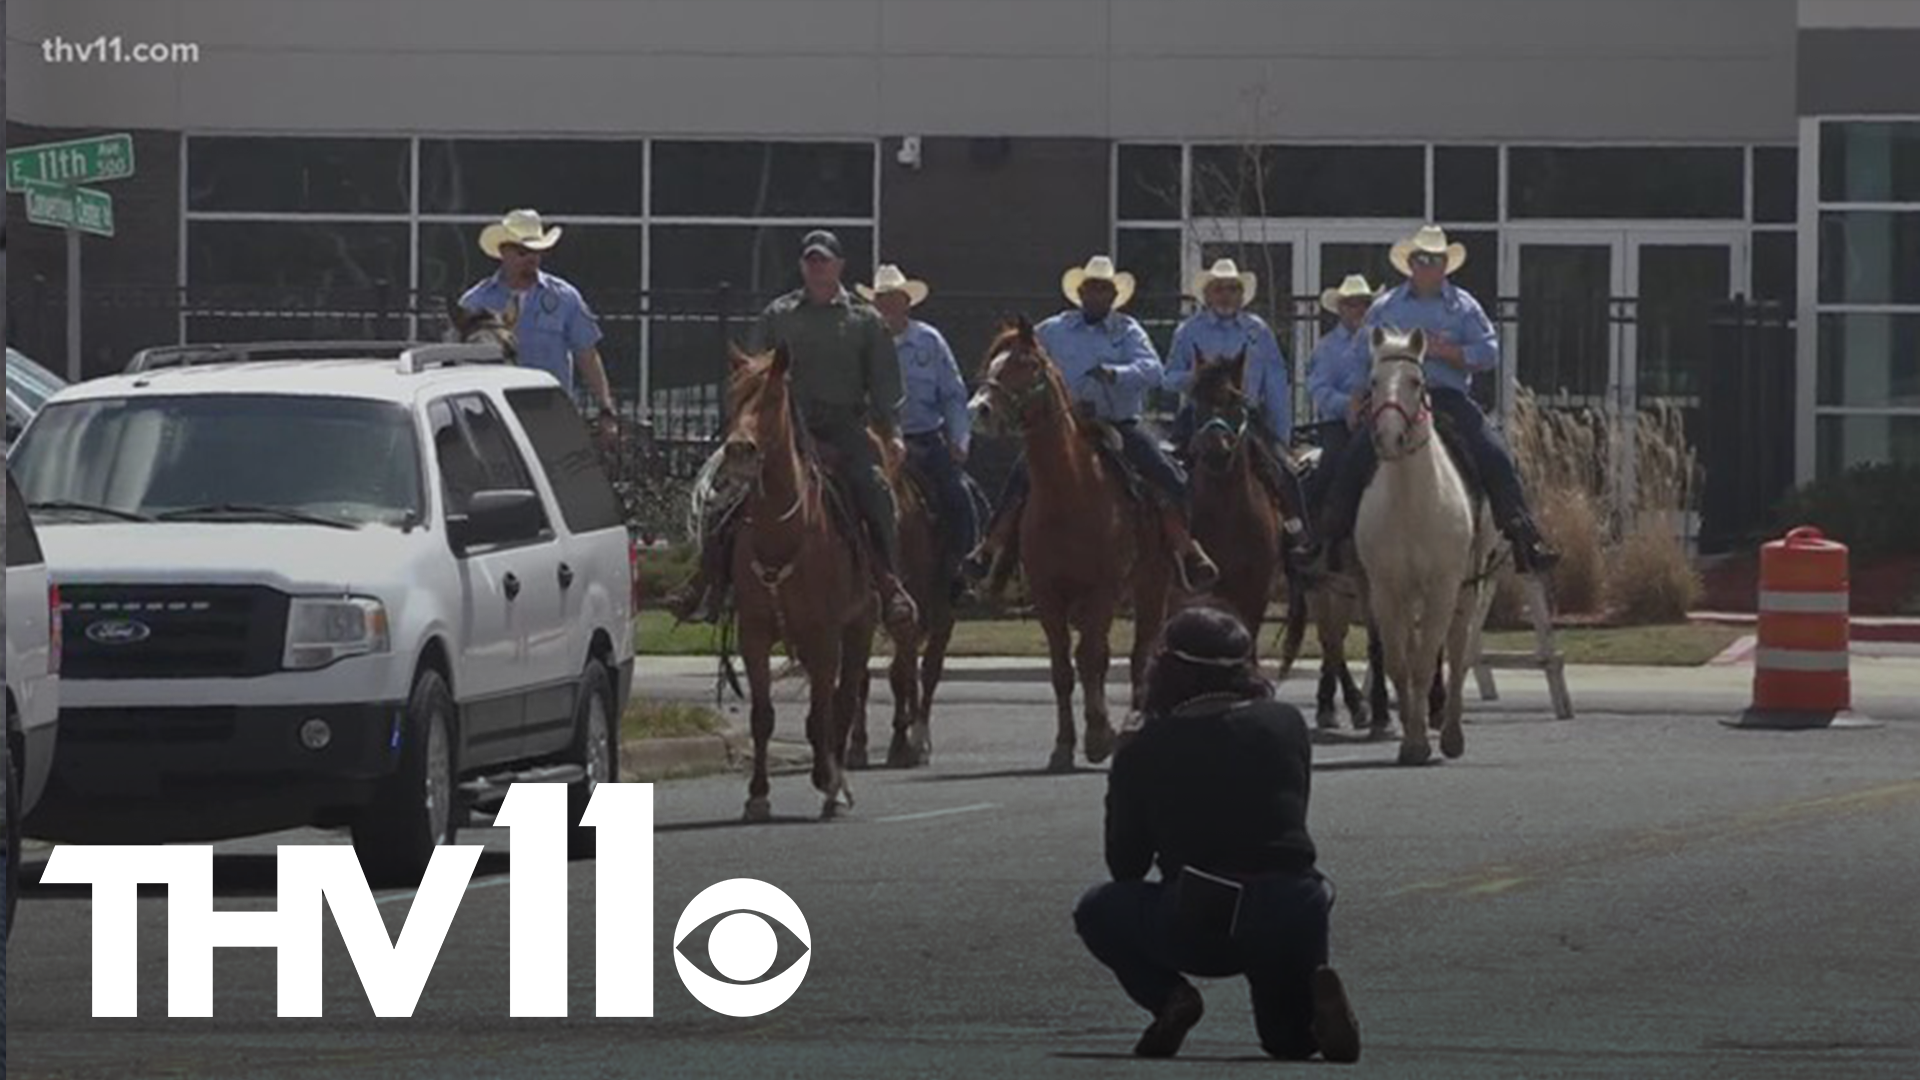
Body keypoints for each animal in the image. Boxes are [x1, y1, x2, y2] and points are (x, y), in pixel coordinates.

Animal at [718, 342, 875, 814]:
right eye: (733, 396)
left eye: (772, 398)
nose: (739, 449)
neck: (782, 532)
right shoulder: (753, 634)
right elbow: (762, 716)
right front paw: (757, 794)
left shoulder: (825, 635)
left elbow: (824, 708)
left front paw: (827, 778)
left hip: (859, 626)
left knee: (844, 697)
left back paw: (837, 781)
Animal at [967, 315, 1175, 768]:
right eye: (992, 363)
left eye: (1027, 365)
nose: (979, 410)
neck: (1071, 492)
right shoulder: (1048, 595)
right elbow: (1063, 667)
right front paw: (1064, 745)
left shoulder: (1103, 590)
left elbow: (1091, 658)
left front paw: (1098, 736)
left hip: (1152, 586)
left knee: (1139, 654)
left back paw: (1132, 722)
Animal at [1351, 328, 1497, 764]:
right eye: (1373, 382)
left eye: (1416, 382)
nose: (1388, 438)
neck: (1411, 504)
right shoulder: (1386, 590)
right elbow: (1401, 663)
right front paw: (1410, 737)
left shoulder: (1443, 586)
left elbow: (1428, 659)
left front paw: (1422, 741)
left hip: (1466, 588)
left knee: (1457, 650)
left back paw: (1451, 733)